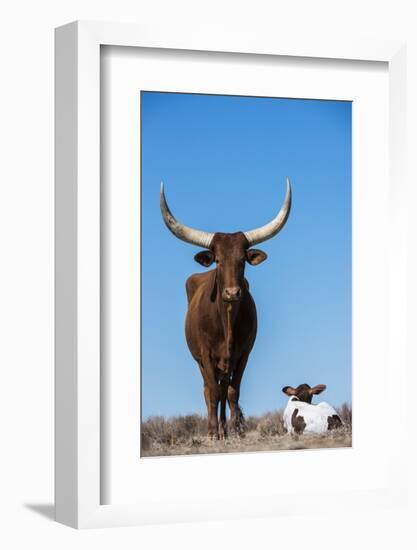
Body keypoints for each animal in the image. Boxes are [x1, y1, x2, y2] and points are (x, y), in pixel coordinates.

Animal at [161, 180, 290, 440]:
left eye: (242, 260)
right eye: (218, 260)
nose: (232, 293)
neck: (227, 321)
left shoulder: (243, 354)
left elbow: (232, 391)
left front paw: (236, 429)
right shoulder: (206, 355)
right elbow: (213, 391)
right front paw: (212, 432)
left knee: (223, 389)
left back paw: (225, 429)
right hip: (201, 361)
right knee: (209, 390)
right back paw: (217, 430)